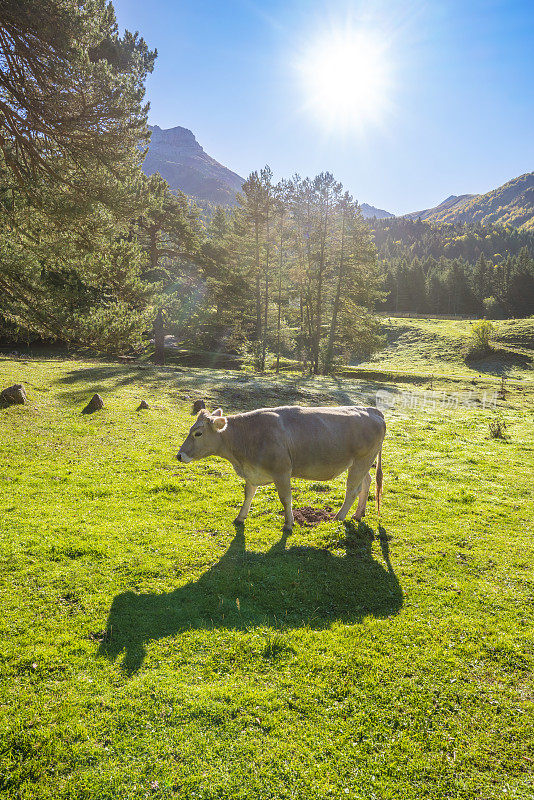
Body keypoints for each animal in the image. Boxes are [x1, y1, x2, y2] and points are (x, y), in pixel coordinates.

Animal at [178, 406, 388, 532]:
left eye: (198, 433)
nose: (179, 455)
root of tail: (371, 409)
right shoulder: (252, 472)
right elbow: (248, 494)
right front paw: (240, 517)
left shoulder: (282, 471)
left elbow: (285, 498)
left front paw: (289, 524)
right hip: (361, 463)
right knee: (366, 483)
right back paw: (358, 514)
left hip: (362, 461)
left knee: (352, 490)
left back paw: (338, 517)